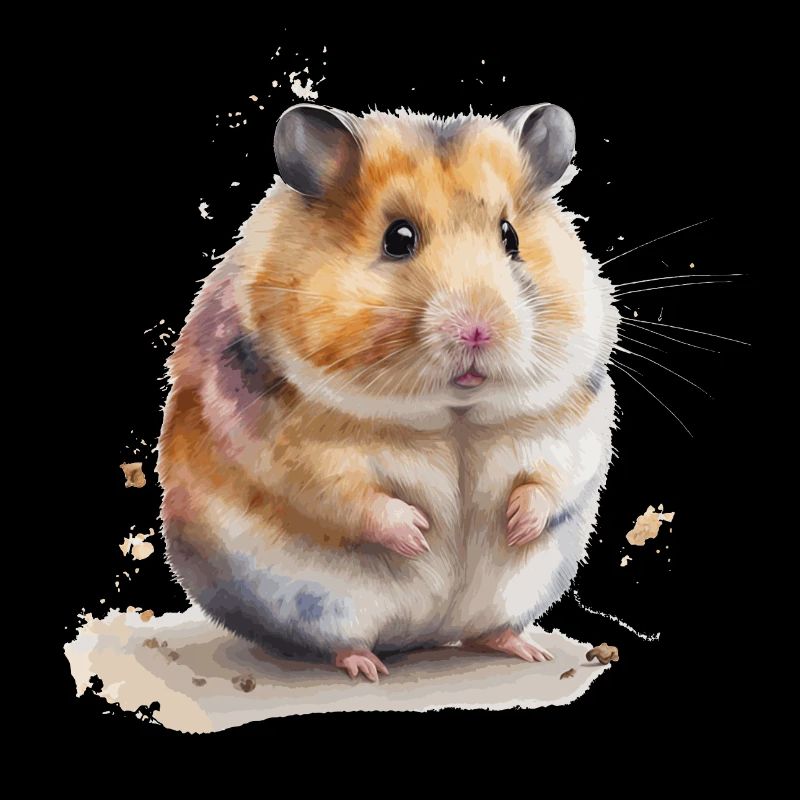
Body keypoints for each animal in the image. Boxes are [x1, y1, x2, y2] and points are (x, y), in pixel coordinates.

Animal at [158, 102, 619, 682]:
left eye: (510, 235)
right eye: (398, 238)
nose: (477, 330)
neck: (454, 413)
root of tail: (425, 636)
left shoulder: (571, 420)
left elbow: (552, 478)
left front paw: (515, 525)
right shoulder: (294, 452)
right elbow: (352, 496)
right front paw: (421, 533)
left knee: (487, 629)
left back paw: (525, 648)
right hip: (322, 603)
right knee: (340, 640)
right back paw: (367, 666)